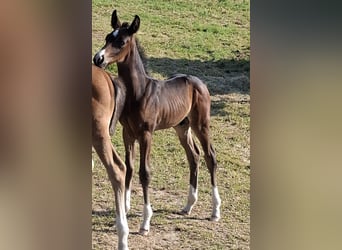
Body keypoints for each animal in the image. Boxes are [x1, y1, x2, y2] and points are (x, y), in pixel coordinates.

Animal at [93, 10, 222, 236]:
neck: (138, 92)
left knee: (210, 157)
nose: (98, 59)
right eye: (108, 37)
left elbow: (145, 173)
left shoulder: (146, 134)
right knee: (194, 156)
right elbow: (129, 167)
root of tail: (199, 82)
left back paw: (215, 211)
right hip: (182, 127)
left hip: (201, 124)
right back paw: (188, 206)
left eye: (122, 41)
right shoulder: (128, 133)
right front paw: (125, 207)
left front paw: (145, 223)